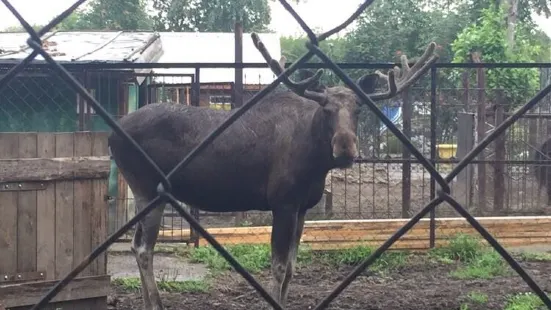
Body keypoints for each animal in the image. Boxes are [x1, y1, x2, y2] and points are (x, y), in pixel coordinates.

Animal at [109, 32, 440, 308]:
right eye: (327, 110)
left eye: (358, 109)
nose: (345, 148)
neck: (315, 163)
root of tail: (113, 134)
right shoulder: (283, 202)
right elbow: (279, 266)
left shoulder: (303, 207)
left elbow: (292, 267)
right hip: (147, 187)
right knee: (143, 248)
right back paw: (155, 303)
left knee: (138, 245)